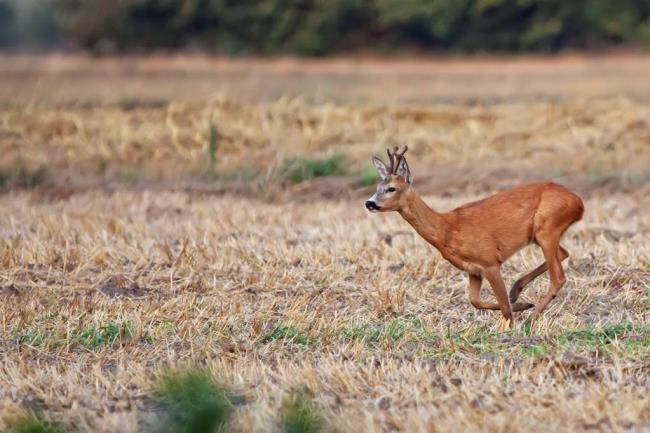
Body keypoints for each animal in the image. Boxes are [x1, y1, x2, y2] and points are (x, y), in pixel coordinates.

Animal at [364, 146, 584, 328]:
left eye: (391, 188)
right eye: (377, 187)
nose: (369, 203)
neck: (447, 230)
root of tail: (578, 202)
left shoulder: (490, 261)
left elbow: (504, 309)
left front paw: (509, 327)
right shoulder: (474, 270)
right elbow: (475, 301)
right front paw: (521, 305)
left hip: (547, 227)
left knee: (559, 276)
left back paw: (530, 319)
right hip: (541, 234)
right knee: (564, 253)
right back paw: (517, 292)